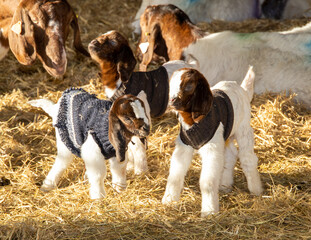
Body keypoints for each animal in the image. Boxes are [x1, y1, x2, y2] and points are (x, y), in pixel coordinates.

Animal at [163, 67, 264, 216]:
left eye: (188, 86)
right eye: (170, 84)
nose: (171, 100)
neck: (193, 120)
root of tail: (242, 89)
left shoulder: (212, 149)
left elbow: (207, 181)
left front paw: (209, 211)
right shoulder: (184, 146)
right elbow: (175, 174)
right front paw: (169, 200)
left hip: (243, 128)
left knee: (248, 158)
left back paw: (256, 189)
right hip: (226, 134)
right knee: (230, 155)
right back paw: (224, 185)